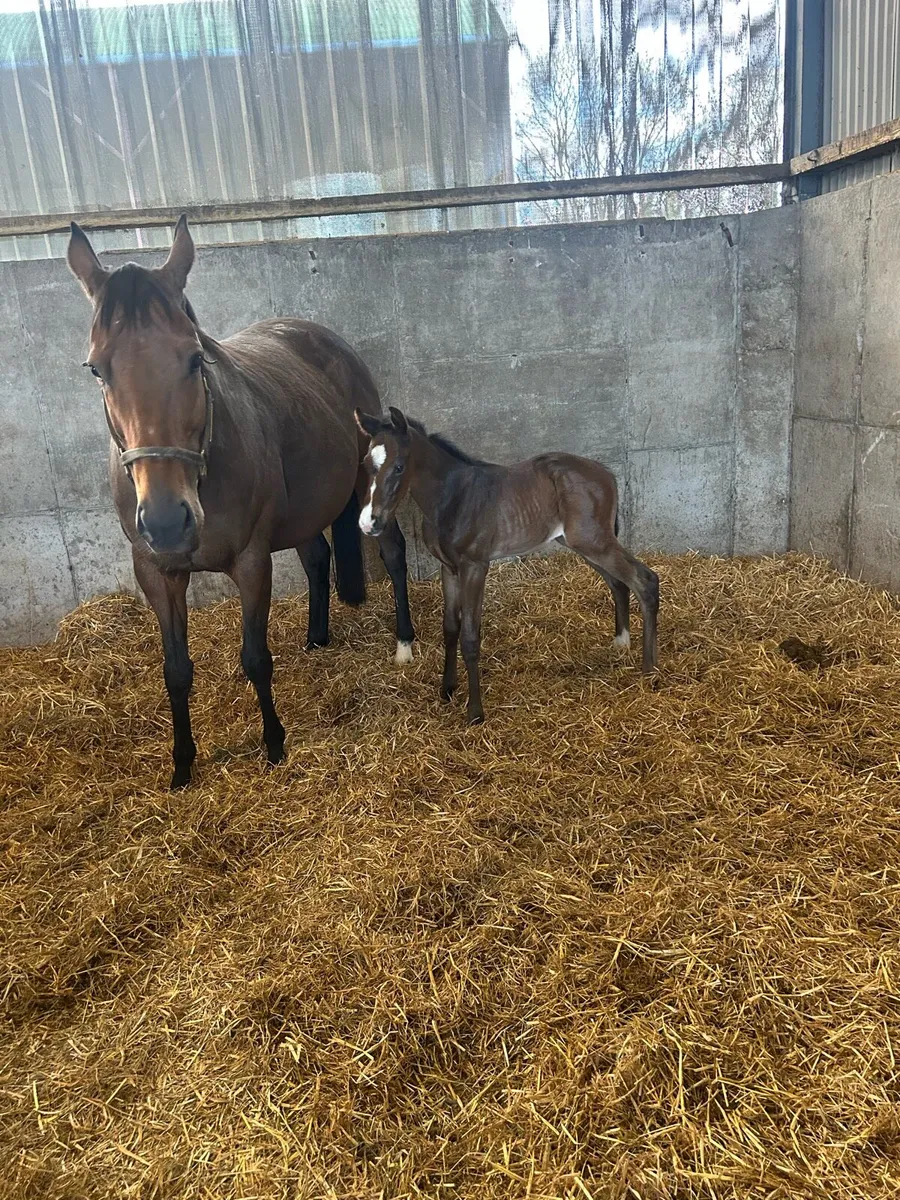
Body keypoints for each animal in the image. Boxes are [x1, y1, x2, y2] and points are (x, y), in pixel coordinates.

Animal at [67, 216, 415, 788]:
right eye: (97, 369)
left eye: (194, 358)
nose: (167, 522)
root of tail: (329, 340)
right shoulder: (156, 572)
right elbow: (175, 669)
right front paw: (182, 764)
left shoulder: (251, 561)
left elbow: (255, 657)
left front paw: (274, 743)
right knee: (317, 557)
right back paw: (316, 638)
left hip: (370, 488)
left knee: (393, 553)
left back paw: (405, 642)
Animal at [354, 406, 659, 725]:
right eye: (365, 463)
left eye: (399, 467)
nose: (369, 523)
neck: (454, 497)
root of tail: (607, 473)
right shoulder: (449, 568)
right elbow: (450, 628)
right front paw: (447, 689)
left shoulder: (475, 566)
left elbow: (470, 637)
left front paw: (475, 713)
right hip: (584, 544)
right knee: (619, 583)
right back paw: (621, 643)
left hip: (593, 541)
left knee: (645, 580)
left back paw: (650, 671)